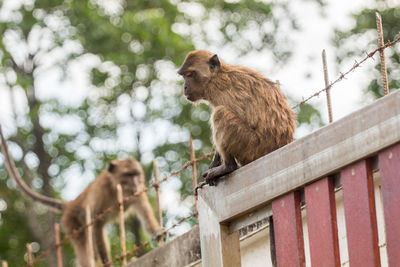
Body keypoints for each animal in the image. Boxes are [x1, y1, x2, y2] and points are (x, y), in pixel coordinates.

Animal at [1, 126, 162, 266]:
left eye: (136, 174)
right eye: (128, 175)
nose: (135, 183)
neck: (116, 187)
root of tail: (71, 203)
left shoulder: (138, 194)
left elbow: (147, 220)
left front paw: (160, 236)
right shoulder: (101, 193)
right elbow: (97, 222)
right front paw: (107, 263)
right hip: (72, 222)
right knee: (84, 244)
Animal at [177, 49, 294, 185]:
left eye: (190, 75)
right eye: (184, 76)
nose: (185, 87)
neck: (215, 76)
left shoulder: (218, 91)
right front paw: (214, 162)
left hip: (253, 146)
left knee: (221, 113)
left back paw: (228, 166)